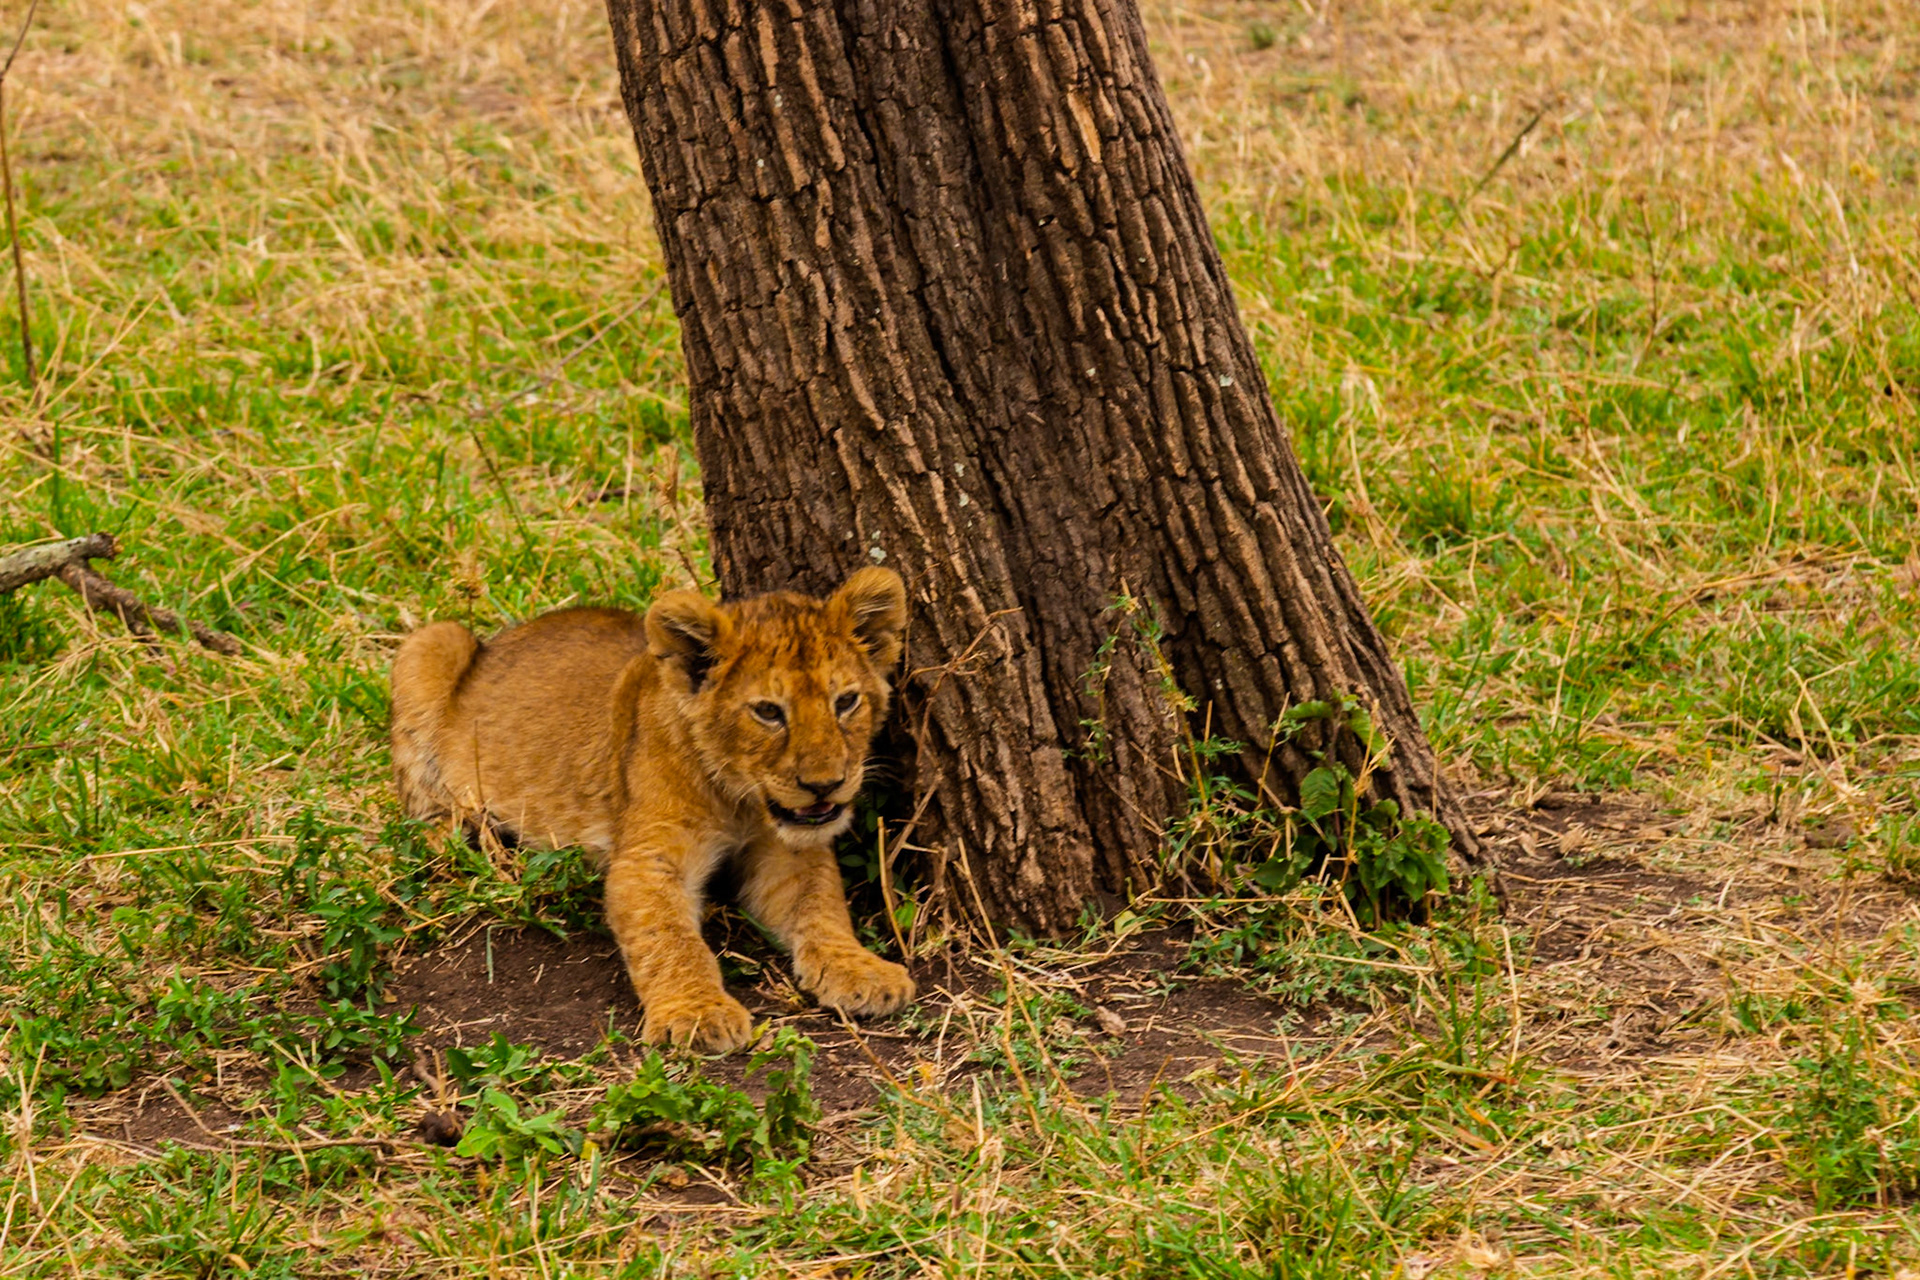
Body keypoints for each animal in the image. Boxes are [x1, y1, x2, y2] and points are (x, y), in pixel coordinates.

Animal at [387, 566, 915, 1053]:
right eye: (768, 712)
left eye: (845, 701)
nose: (825, 785)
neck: (741, 801)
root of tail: (503, 638)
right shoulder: (647, 859)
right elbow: (668, 937)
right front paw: (698, 1013)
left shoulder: (787, 853)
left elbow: (821, 905)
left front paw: (861, 970)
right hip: (431, 645)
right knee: (423, 804)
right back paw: (466, 836)